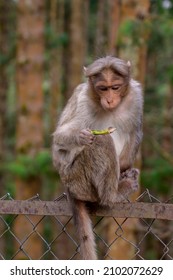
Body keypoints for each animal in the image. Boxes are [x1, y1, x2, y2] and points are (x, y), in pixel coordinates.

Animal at [52, 55, 143, 260]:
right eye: (103, 88)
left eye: (115, 87)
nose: (109, 99)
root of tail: (68, 186)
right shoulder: (82, 99)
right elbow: (59, 141)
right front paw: (80, 137)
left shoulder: (136, 97)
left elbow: (135, 132)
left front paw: (125, 170)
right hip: (77, 180)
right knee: (103, 139)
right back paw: (115, 194)